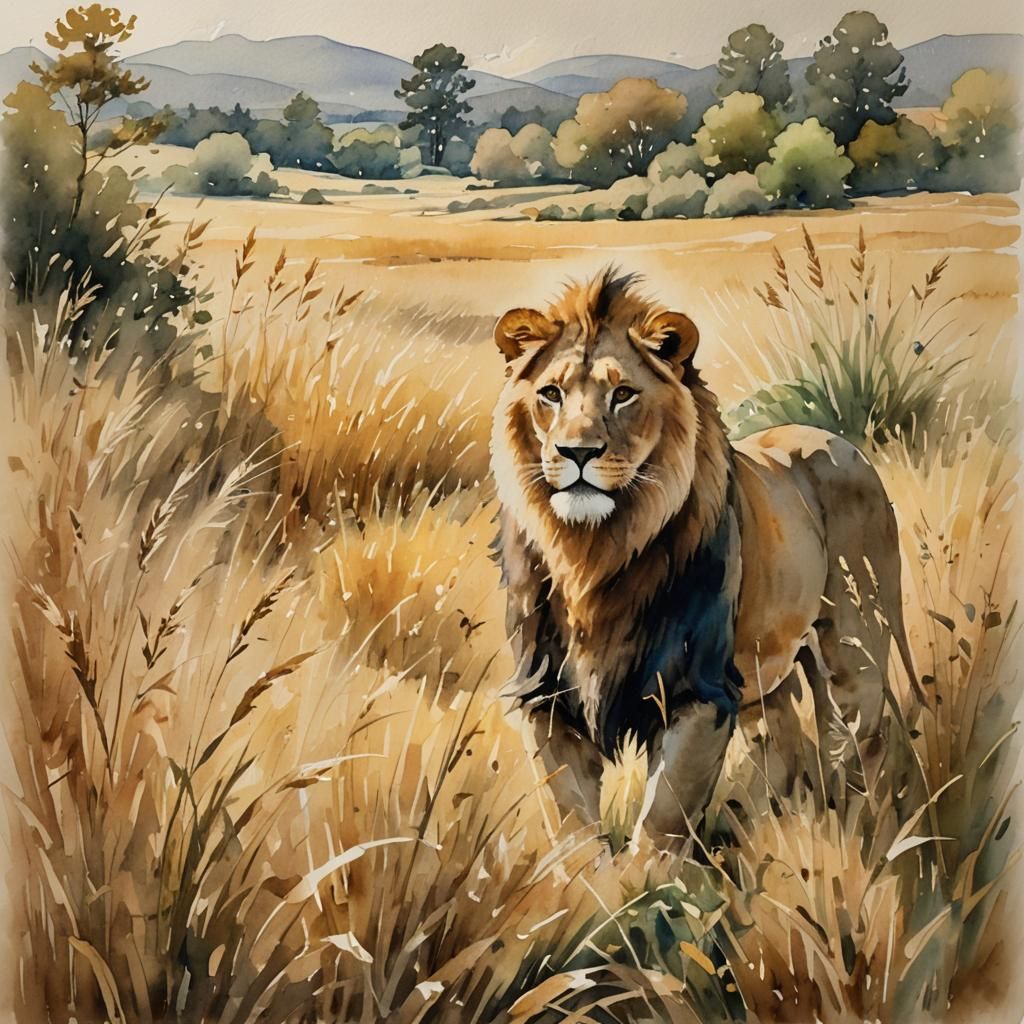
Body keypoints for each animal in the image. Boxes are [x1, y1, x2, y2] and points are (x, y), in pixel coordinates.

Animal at [490, 268, 918, 844]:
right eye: (550, 394)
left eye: (623, 394)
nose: (577, 452)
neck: (594, 553)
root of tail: (842, 442)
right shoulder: (545, 697)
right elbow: (574, 823)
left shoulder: (701, 690)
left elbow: (662, 820)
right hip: (768, 675)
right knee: (785, 748)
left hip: (855, 650)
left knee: (855, 748)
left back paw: (858, 836)